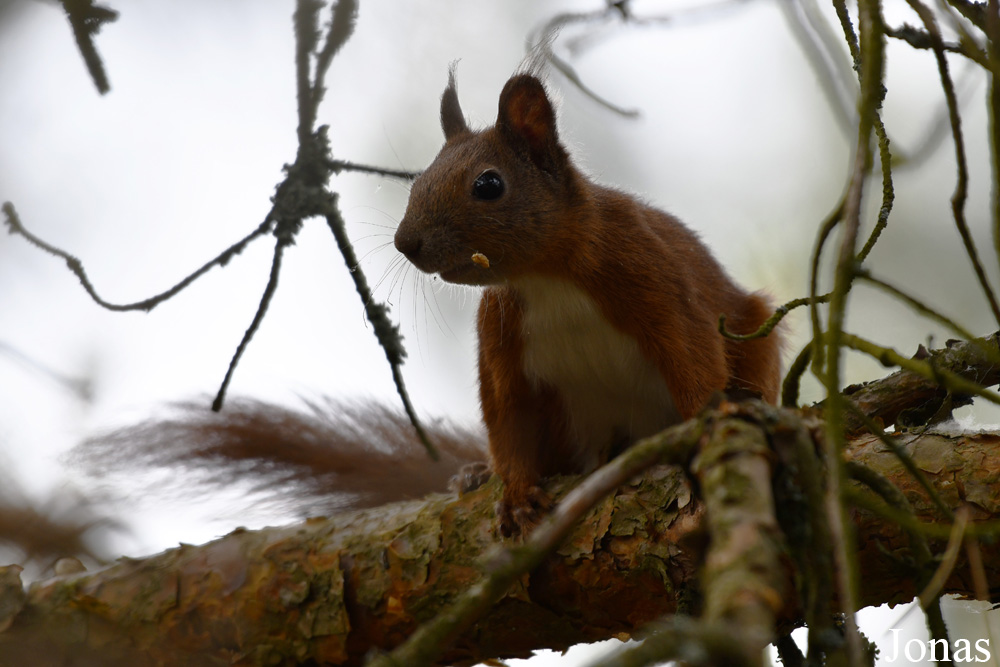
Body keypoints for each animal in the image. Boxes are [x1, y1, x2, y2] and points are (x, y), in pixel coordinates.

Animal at [394, 70, 784, 536]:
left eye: (488, 185)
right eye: (417, 182)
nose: (404, 243)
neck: (548, 278)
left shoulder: (657, 279)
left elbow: (695, 361)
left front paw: (707, 428)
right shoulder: (500, 334)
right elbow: (508, 415)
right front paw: (517, 494)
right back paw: (478, 474)